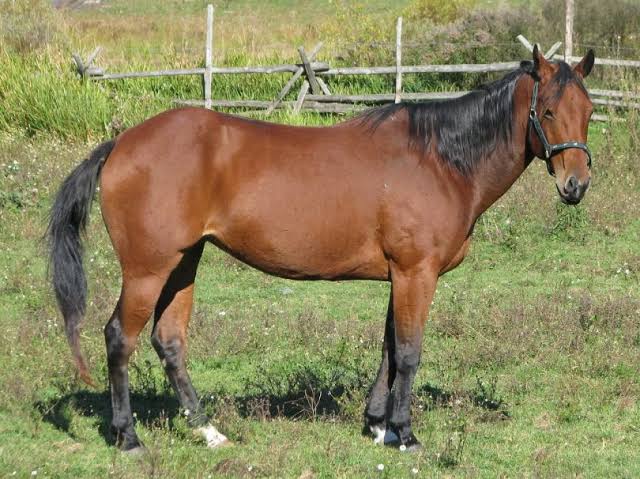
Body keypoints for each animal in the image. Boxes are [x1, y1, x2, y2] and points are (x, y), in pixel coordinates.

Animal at [47, 46, 595, 452]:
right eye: (547, 110)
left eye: (588, 112)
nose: (576, 185)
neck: (439, 159)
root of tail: (120, 145)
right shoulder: (417, 272)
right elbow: (409, 351)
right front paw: (405, 434)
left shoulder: (399, 275)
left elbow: (388, 347)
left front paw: (377, 424)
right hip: (148, 269)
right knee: (120, 337)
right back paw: (128, 438)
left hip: (184, 262)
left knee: (170, 341)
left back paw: (208, 430)